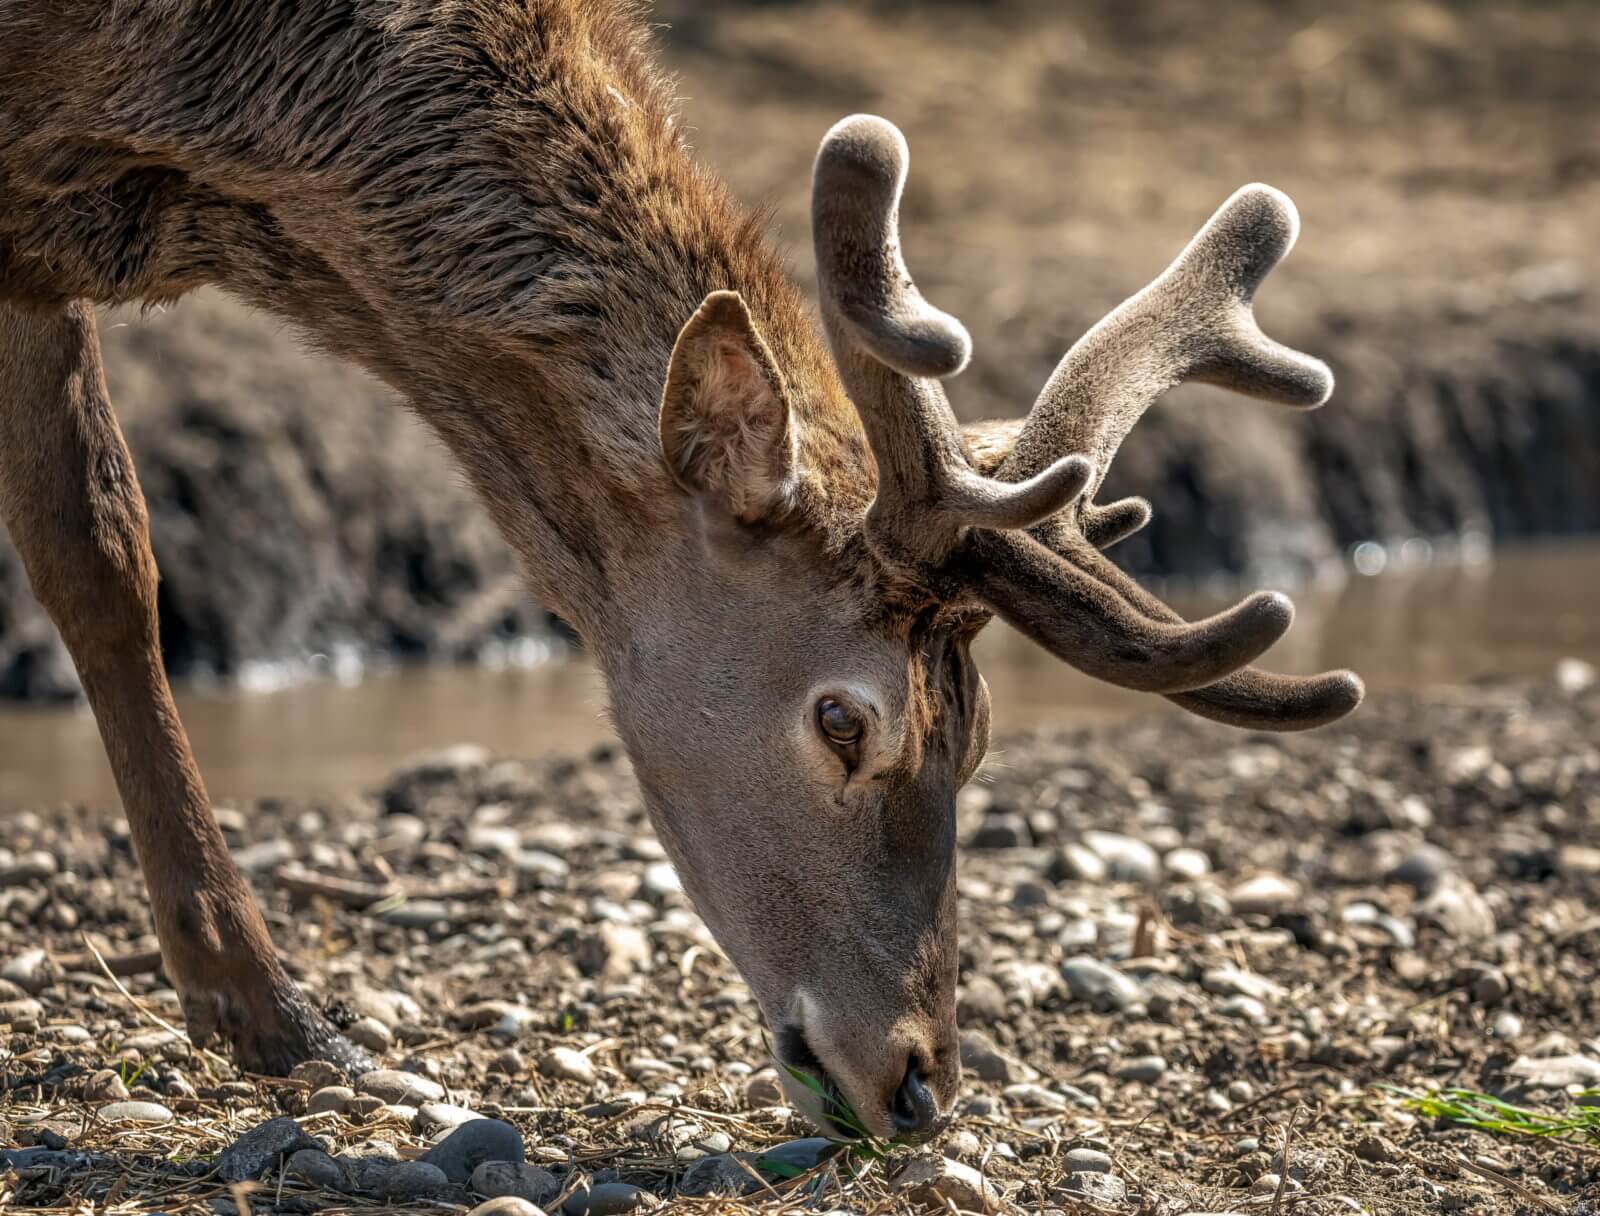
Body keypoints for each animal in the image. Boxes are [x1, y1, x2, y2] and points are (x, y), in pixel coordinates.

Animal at [0, 0, 1363, 1145]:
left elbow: (96, 547)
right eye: (841, 716)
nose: (920, 1083)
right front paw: (265, 1007)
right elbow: (100, 548)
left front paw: (262, 1009)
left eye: (975, 737)